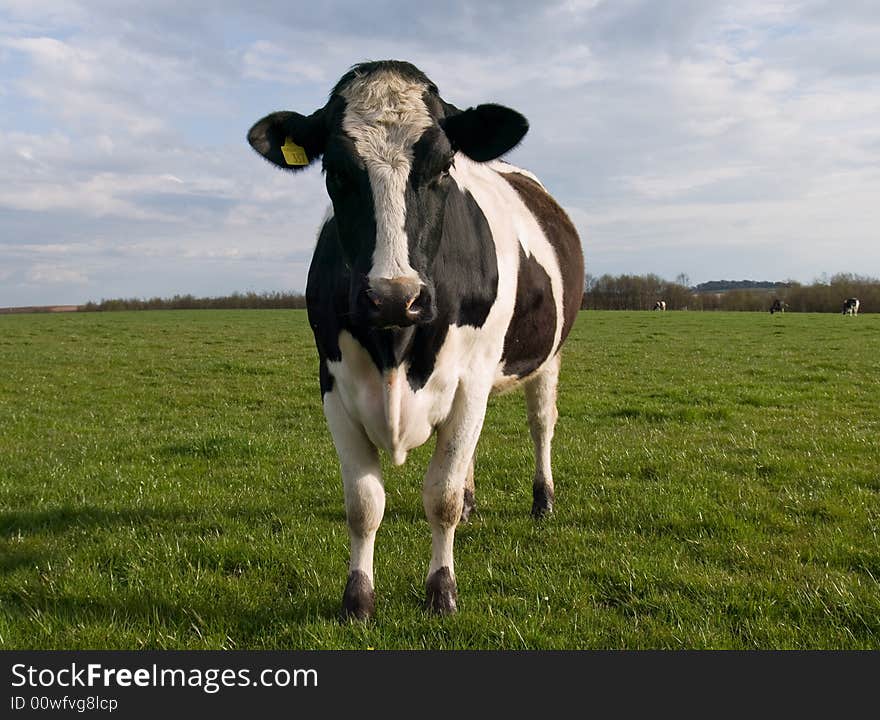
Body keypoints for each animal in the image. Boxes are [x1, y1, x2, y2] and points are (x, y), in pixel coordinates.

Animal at [244, 60, 584, 620]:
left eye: (443, 167)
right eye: (334, 171)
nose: (392, 296)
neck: (395, 348)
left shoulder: (470, 381)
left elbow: (440, 496)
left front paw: (441, 591)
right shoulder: (333, 383)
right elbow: (364, 504)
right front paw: (357, 598)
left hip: (547, 357)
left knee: (541, 424)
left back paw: (544, 500)